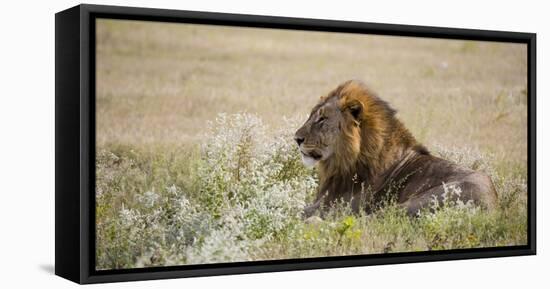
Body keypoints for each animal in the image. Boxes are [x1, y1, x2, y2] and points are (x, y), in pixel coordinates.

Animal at [298, 79, 500, 216]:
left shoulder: (340, 205)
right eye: (311, 115)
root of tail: (494, 204)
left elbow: (300, 211)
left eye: (322, 119)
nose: (296, 139)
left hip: (421, 200)